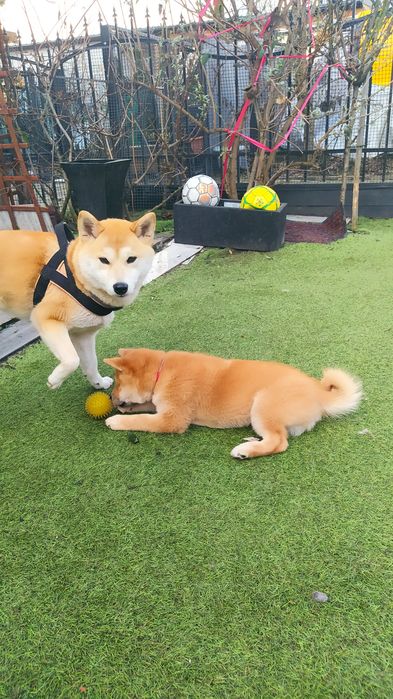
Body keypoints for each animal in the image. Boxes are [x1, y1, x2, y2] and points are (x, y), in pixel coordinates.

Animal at [0, 211, 156, 392]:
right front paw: (55, 380)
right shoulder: (44, 316)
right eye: (104, 260)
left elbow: (91, 364)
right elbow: (72, 360)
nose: (120, 287)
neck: (77, 277)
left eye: (131, 259)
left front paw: (98, 383)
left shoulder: (83, 336)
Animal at [103, 348, 362, 460]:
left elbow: (142, 420)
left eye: (117, 382)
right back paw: (251, 440)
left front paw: (117, 420)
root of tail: (318, 392)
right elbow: (144, 408)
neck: (162, 370)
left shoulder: (172, 419)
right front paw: (125, 409)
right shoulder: (160, 404)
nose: (112, 400)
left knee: (279, 442)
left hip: (263, 405)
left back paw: (246, 451)